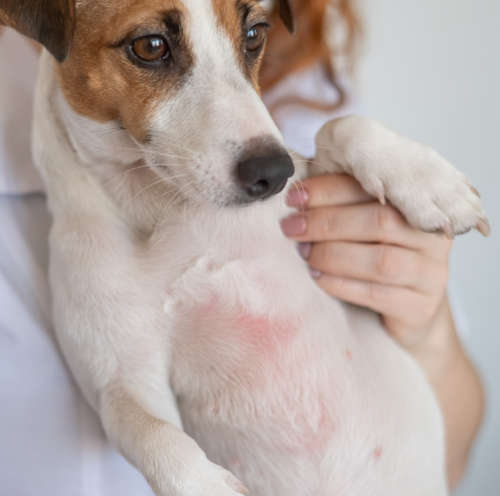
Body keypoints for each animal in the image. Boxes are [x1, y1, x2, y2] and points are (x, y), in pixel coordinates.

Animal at [0, 0, 490, 496]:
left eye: (255, 34)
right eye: (150, 46)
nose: (273, 173)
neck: (169, 207)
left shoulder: (300, 191)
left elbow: (339, 126)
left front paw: (430, 182)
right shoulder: (122, 379)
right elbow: (155, 434)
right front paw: (207, 486)